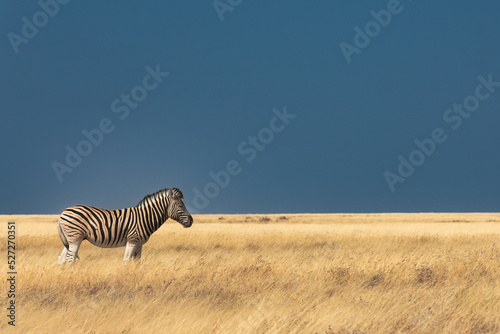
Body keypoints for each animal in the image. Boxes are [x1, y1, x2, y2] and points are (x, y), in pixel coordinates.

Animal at [56, 188, 192, 264]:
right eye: (181, 206)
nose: (191, 220)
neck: (145, 217)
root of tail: (63, 212)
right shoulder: (132, 240)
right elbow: (126, 261)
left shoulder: (139, 244)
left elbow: (137, 262)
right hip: (75, 238)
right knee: (70, 259)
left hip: (70, 240)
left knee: (61, 259)